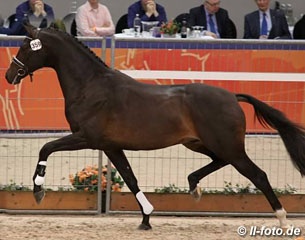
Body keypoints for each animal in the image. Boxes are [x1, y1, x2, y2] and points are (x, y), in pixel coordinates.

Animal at [4, 24, 304, 231]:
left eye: (25, 47)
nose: (8, 75)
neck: (91, 86)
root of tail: (233, 96)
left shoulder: (87, 137)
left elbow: (46, 147)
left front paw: (38, 190)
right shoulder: (110, 146)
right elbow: (130, 178)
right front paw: (146, 218)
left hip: (228, 146)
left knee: (259, 175)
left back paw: (282, 220)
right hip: (201, 143)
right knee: (219, 162)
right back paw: (194, 187)